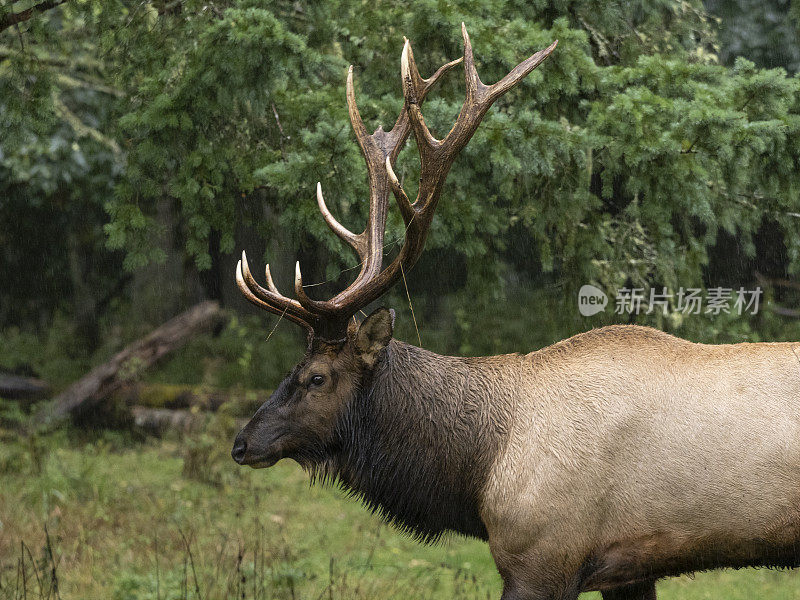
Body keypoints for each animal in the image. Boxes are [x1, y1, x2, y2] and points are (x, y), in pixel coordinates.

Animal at [228, 24, 800, 600]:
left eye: (317, 377)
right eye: (294, 368)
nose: (241, 442)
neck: (477, 472)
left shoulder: (542, 559)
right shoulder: (632, 567)